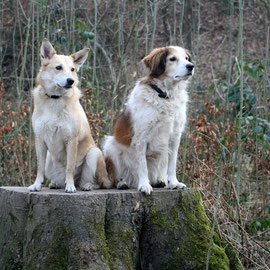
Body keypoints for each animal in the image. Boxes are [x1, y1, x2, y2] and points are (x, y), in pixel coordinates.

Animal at [28, 39, 110, 193]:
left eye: (72, 69)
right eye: (58, 67)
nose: (70, 81)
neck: (55, 98)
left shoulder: (71, 140)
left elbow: (70, 167)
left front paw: (70, 186)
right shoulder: (40, 138)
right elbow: (39, 167)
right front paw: (36, 185)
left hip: (94, 154)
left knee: (99, 183)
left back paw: (86, 185)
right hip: (50, 158)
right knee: (57, 177)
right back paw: (56, 183)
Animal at [103, 46, 194, 194]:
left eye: (186, 58)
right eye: (172, 59)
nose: (191, 66)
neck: (165, 95)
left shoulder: (175, 136)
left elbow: (172, 164)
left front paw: (174, 183)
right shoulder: (141, 137)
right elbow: (142, 165)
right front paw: (144, 185)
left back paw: (160, 181)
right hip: (110, 145)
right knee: (115, 176)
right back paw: (122, 183)